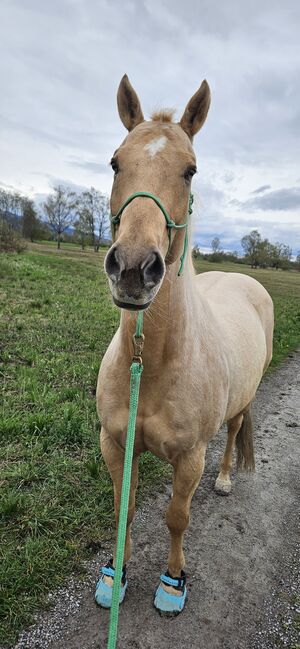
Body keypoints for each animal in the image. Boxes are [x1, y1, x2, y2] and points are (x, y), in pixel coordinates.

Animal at [95, 74, 274, 612]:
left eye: (190, 171)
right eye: (115, 161)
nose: (133, 269)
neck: (151, 364)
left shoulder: (189, 457)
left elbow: (177, 517)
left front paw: (173, 583)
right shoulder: (116, 443)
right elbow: (125, 508)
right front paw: (115, 574)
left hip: (240, 406)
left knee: (233, 434)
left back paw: (225, 478)